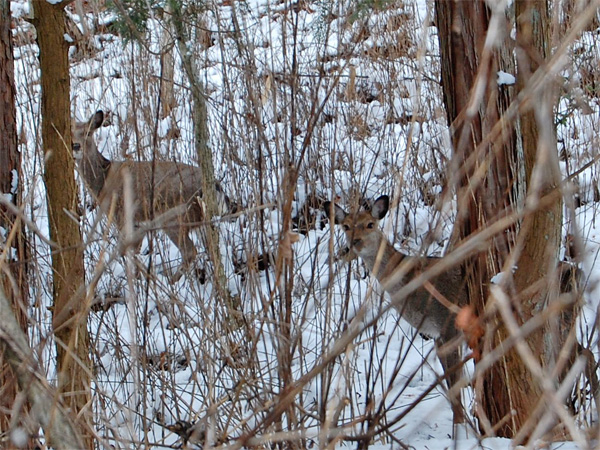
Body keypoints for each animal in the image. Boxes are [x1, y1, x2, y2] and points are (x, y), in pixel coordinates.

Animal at [69, 110, 230, 280]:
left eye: (88, 133)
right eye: (70, 132)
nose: (76, 145)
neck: (103, 181)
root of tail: (215, 187)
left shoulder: (122, 216)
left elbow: (127, 252)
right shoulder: (139, 223)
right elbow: (134, 251)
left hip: (175, 217)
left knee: (190, 251)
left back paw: (171, 281)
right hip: (201, 220)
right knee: (212, 250)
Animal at [324, 193, 468, 426]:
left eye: (370, 224)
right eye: (345, 226)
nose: (355, 243)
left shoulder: (448, 322)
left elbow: (456, 381)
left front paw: (460, 425)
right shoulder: (436, 333)